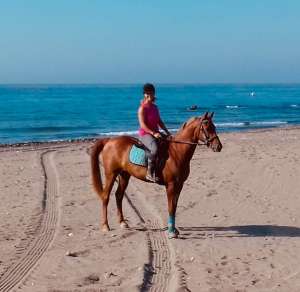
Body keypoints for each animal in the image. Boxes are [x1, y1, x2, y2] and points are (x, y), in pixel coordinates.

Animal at [90, 112, 221, 237]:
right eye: (207, 127)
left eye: (214, 127)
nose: (218, 146)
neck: (176, 152)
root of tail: (109, 141)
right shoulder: (171, 185)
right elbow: (170, 207)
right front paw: (171, 231)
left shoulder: (179, 185)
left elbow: (174, 207)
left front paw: (174, 229)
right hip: (111, 174)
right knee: (106, 196)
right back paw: (105, 225)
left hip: (124, 175)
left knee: (119, 195)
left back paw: (122, 222)